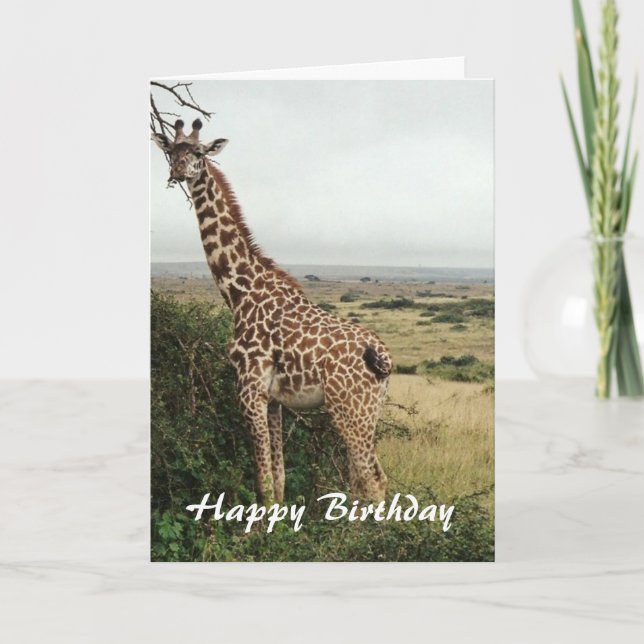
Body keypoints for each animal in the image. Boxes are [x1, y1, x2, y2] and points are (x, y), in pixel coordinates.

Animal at [153, 118, 393, 503]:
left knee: (371, 480)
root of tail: (384, 358)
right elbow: (278, 479)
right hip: (370, 410)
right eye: (172, 151)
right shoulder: (275, 399)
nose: (177, 171)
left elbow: (263, 480)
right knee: (366, 478)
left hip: (349, 408)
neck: (240, 291)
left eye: (199, 152)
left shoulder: (249, 388)